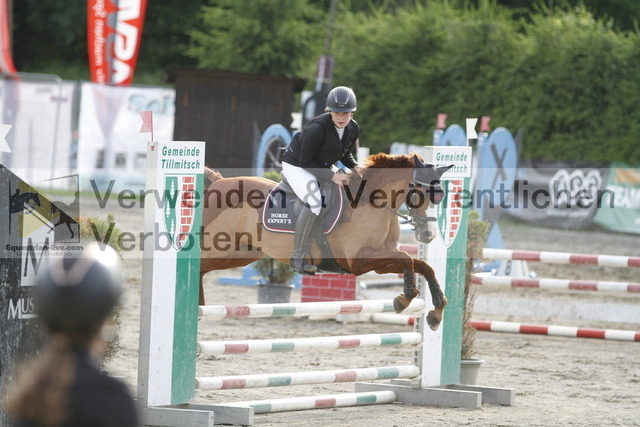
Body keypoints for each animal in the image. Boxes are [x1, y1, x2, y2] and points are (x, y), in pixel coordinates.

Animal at [200, 153, 452, 330]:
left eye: (440, 196)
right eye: (418, 192)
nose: (428, 234)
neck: (371, 203)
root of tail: (219, 182)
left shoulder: (378, 262)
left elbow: (422, 265)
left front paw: (436, 312)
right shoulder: (358, 262)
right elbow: (407, 258)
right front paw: (404, 297)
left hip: (242, 254)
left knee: (202, 270)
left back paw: (199, 310)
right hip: (219, 249)